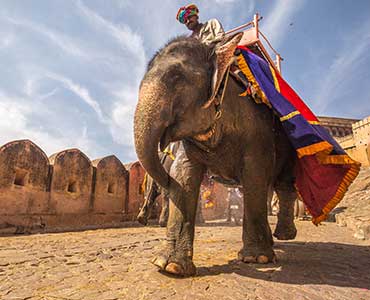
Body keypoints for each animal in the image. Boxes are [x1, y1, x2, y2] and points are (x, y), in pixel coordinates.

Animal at [134, 33, 298, 276]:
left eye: (176, 77)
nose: (166, 178)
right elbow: (183, 175)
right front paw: (170, 266)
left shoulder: (257, 130)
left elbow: (255, 174)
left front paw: (256, 259)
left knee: (283, 185)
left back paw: (283, 236)